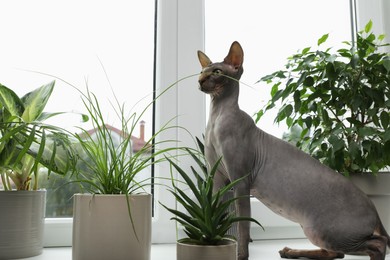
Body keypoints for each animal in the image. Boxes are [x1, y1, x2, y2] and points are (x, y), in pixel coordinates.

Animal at [198, 41, 390, 260]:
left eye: (216, 72)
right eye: (202, 71)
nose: (200, 80)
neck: (216, 118)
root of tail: (374, 209)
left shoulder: (240, 181)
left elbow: (243, 226)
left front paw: (241, 255)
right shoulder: (216, 178)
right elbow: (215, 213)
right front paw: (212, 241)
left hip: (330, 231)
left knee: (378, 243)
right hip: (316, 231)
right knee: (336, 253)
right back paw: (290, 251)